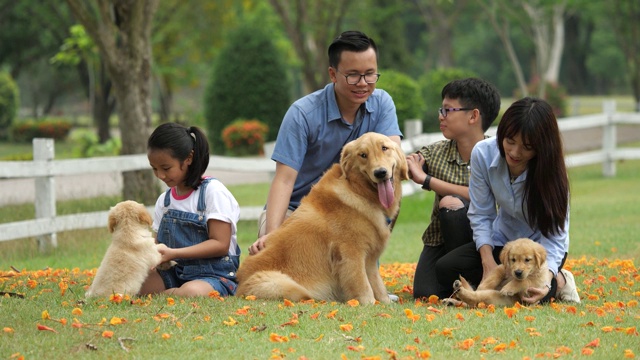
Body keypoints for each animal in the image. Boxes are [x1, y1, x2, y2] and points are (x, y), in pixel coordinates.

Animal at [236, 132, 410, 304]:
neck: (358, 190)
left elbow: (377, 284)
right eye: (363, 155)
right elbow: (363, 285)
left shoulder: (370, 258)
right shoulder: (351, 253)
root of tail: (238, 287)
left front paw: (385, 303)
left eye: (384, 148)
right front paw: (368, 304)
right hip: (284, 284)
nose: (380, 173)